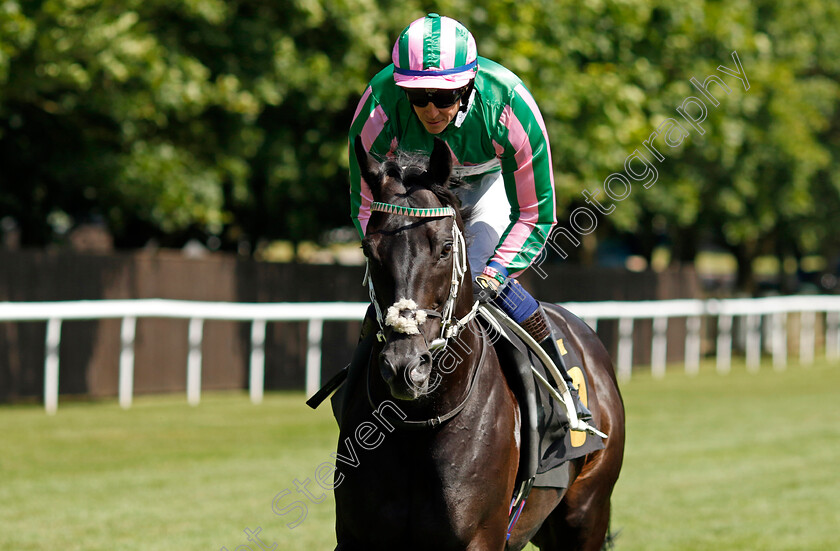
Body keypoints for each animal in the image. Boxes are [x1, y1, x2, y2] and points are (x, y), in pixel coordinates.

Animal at [334, 138, 624, 551]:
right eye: (367, 250)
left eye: (443, 249)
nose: (406, 367)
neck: (417, 423)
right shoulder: (355, 537)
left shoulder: (480, 538)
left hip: (586, 514)